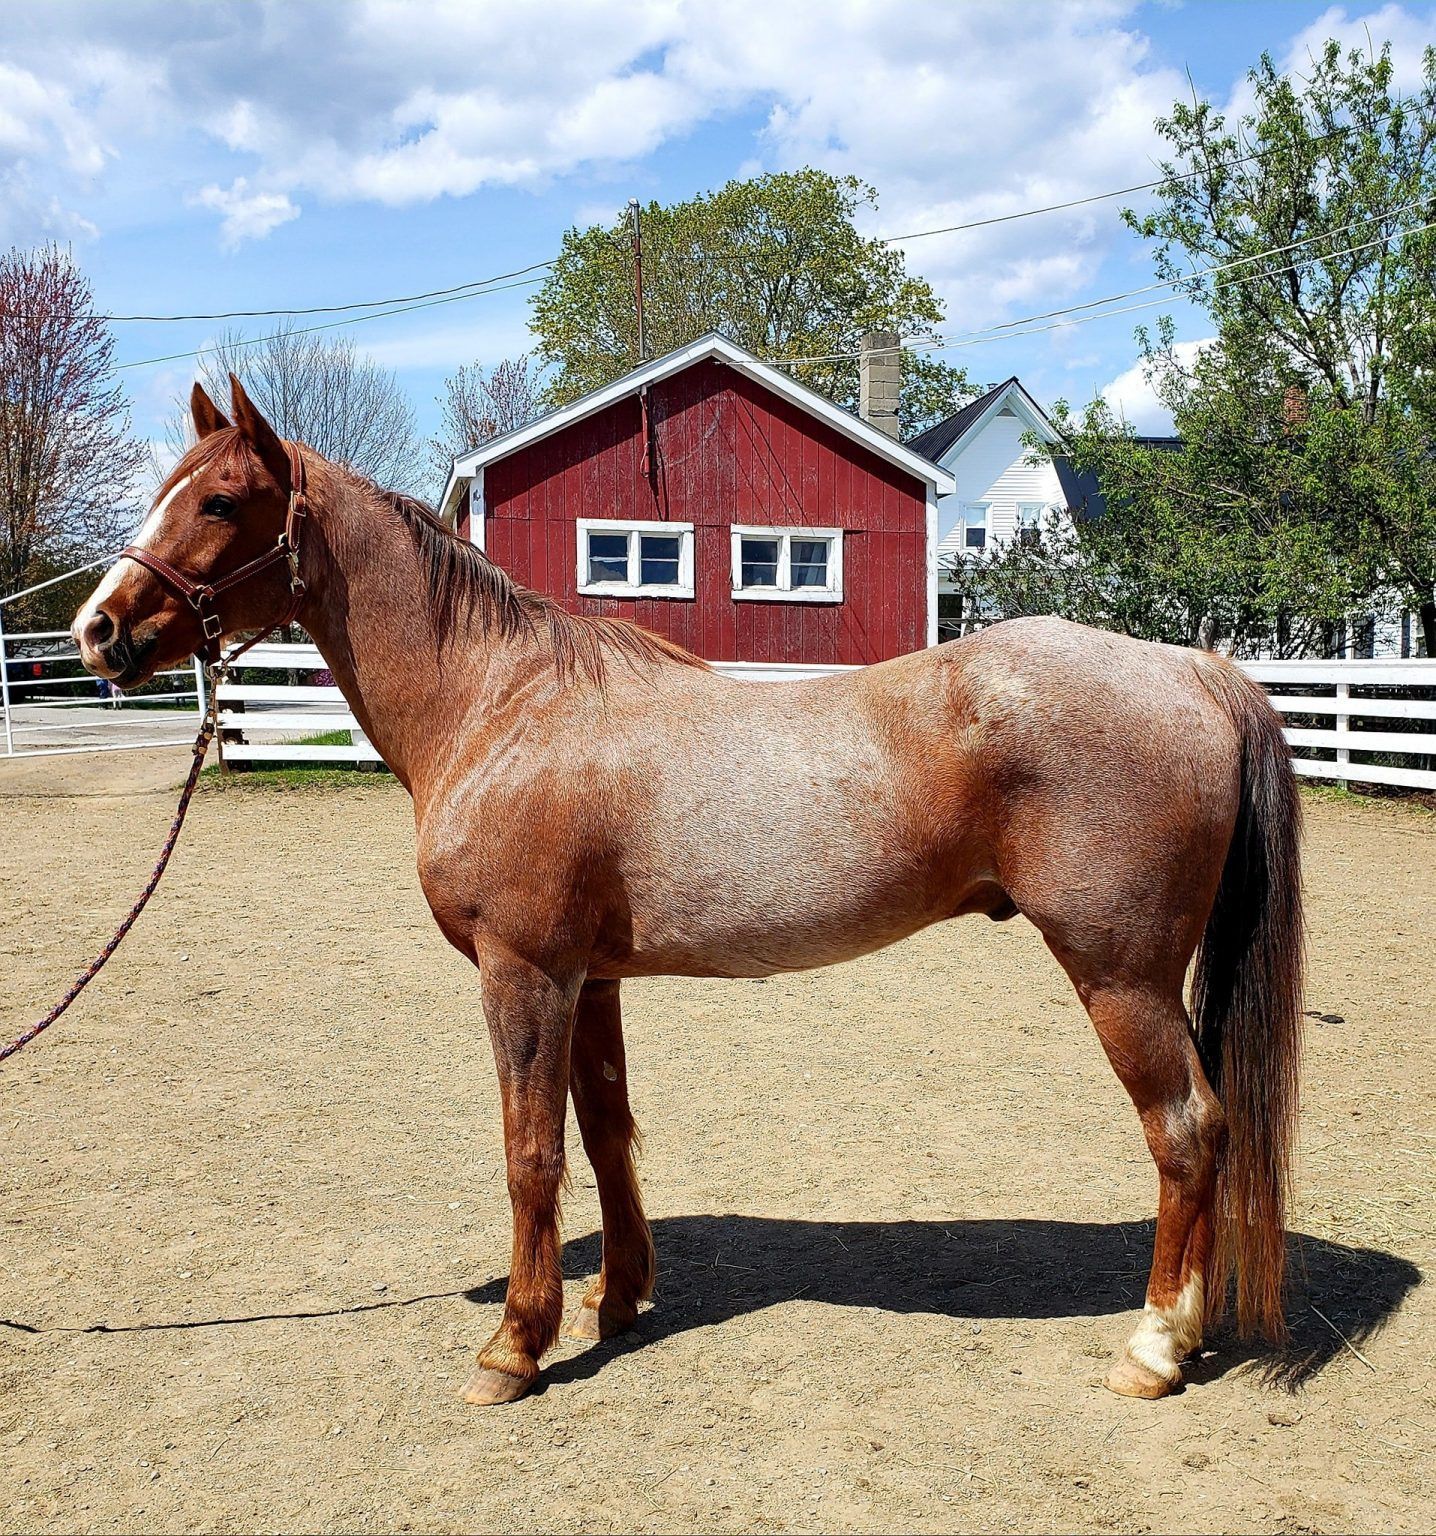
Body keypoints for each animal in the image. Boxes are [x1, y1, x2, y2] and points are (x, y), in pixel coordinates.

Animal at [73, 377, 1304, 1406]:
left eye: (221, 500)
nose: (99, 629)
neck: (498, 703)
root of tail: (1192, 668)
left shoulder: (523, 975)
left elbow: (529, 1152)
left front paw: (512, 1347)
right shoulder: (589, 979)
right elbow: (605, 1131)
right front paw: (616, 1300)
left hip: (1118, 975)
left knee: (1186, 1129)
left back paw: (1152, 1348)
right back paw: (1186, 1333)